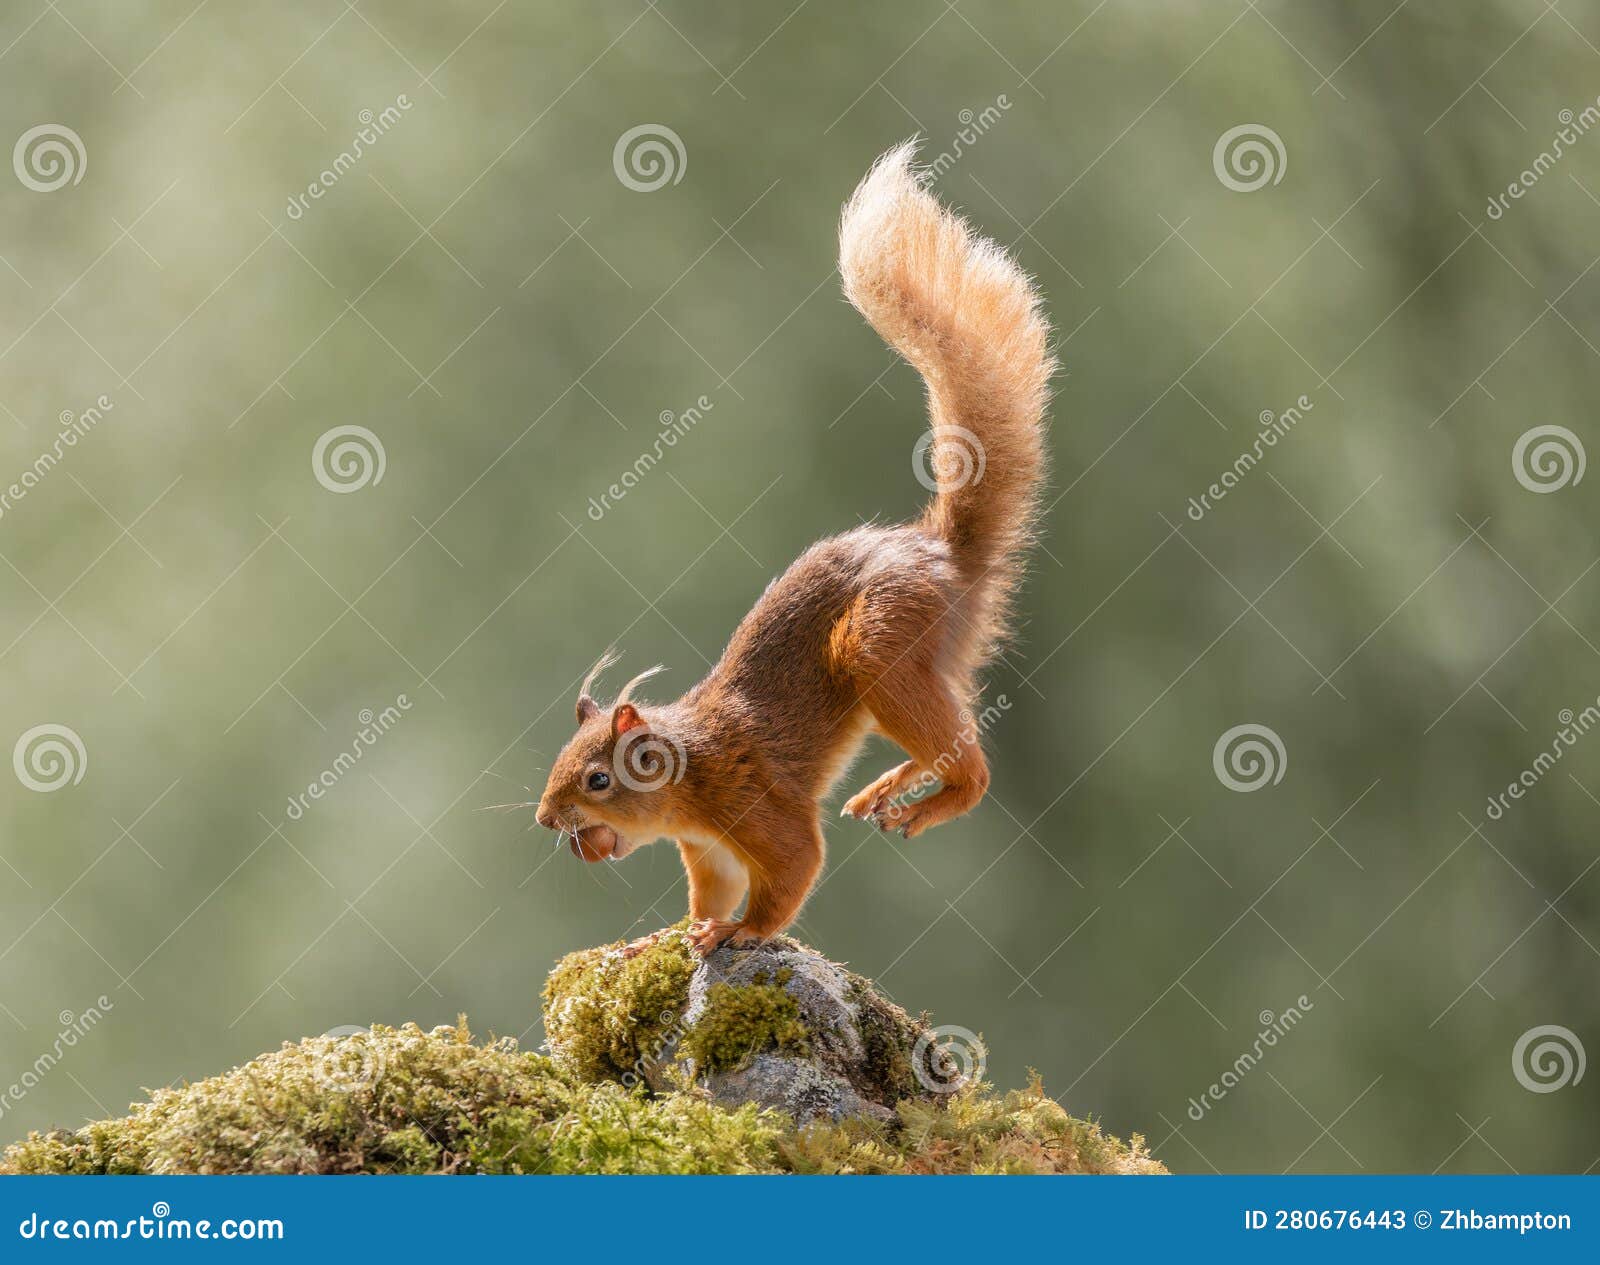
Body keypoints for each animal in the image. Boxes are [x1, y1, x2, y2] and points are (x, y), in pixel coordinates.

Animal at [534, 141, 1054, 956]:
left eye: (597, 780)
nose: (544, 820)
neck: (687, 780)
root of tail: (942, 553)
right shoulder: (707, 850)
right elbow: (707, 891)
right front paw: (667, 936)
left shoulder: (753, 803)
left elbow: (792, 869)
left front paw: (736, 934)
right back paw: (892, 786)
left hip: (881, 643)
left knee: (973, 768)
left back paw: (931, 801)